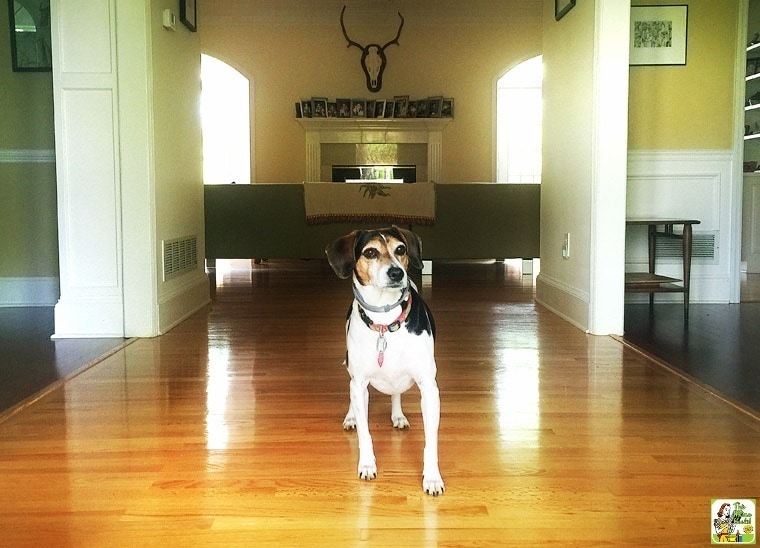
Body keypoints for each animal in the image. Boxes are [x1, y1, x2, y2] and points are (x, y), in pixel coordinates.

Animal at [324, 227, 442, 496]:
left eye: (400, 249)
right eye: (370, 252)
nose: (397, 272)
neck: (385, 322)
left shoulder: (429, 388)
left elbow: (430, 441)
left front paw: (432, 477)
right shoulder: (359, 383)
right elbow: (365, 433)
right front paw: (367, 464)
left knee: (396, 393)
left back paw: (398, 416)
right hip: (353, 376)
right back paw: (351, 417)